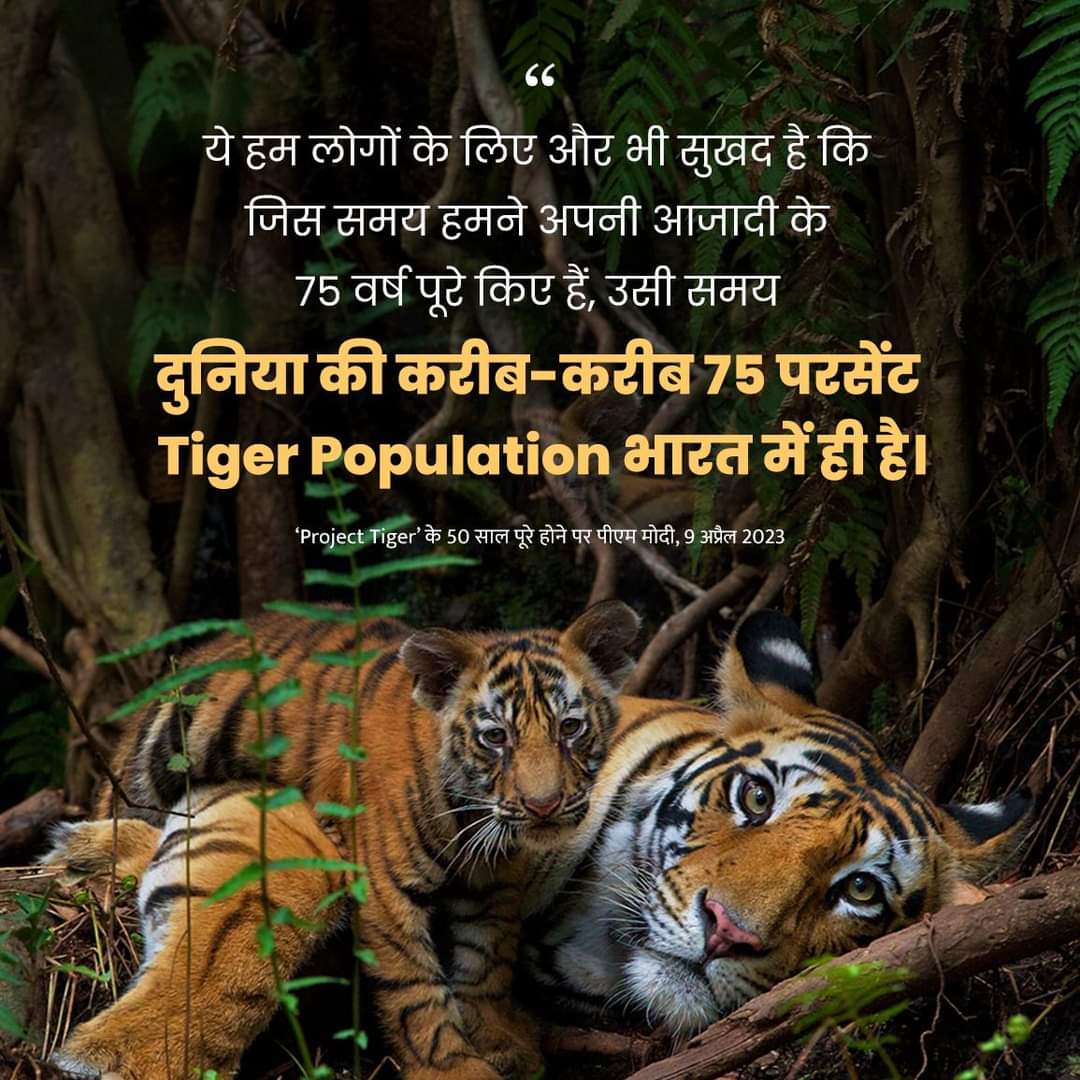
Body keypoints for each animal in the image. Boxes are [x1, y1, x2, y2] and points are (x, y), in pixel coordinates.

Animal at [44, 600, 641, 1080]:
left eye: (570, 728)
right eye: (496, 737)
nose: (544, 805)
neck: (474, 817)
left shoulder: (494, 885)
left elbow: (487, 962)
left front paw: (501, 1041)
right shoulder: (386, 886)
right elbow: (413, 990)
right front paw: (451, 1069)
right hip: (150, 763)